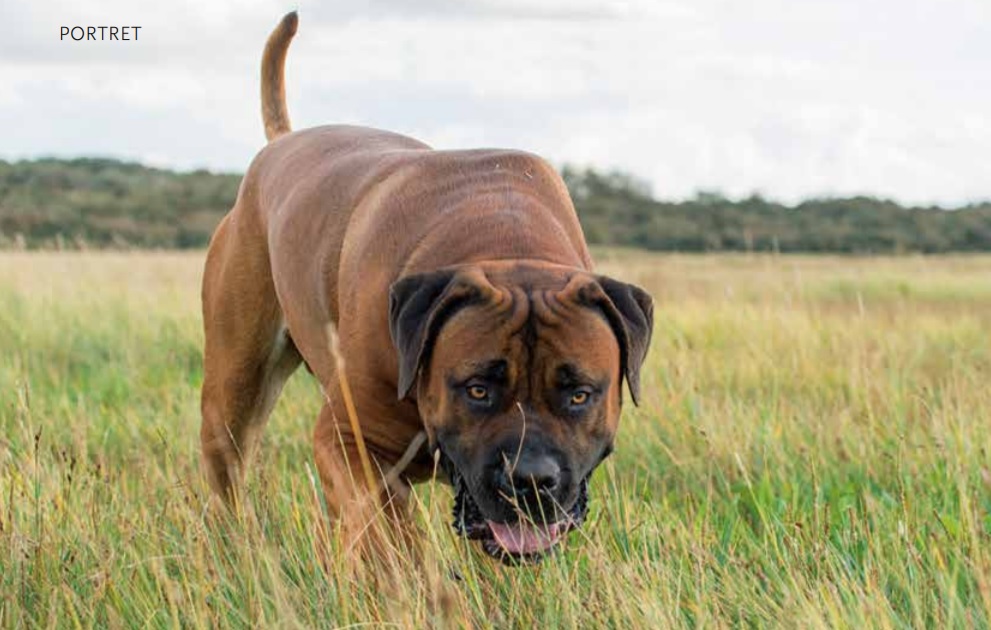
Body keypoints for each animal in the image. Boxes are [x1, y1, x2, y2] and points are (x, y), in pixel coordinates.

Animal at [199, 11, 656, 564]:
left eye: (579, 395)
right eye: (477, 389)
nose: (529, 480)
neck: (504, 243)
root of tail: (279, 145)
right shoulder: (348, 443)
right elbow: (394, 540)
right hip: (233, 396)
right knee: (229, 470)